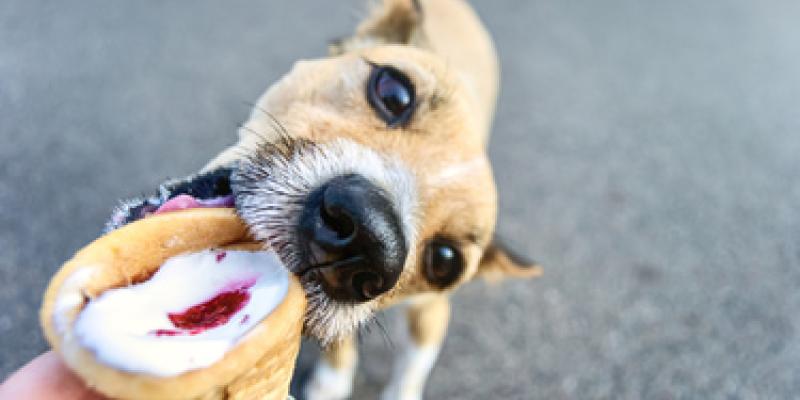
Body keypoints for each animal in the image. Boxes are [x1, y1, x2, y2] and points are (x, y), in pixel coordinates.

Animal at [106, 1, 540, 398]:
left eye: (445, 262)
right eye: (394, 91)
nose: (367, 241)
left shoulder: (431, 309)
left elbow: (412, 361)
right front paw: (332, 380)